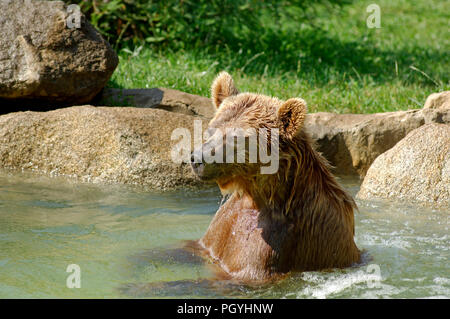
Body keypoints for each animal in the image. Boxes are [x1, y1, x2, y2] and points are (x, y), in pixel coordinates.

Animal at [190, 72, 362, 282]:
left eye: (236, 138)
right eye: (211, 130)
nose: (197, 159)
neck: (259, 195)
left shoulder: (277, 240)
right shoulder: (222, 227)